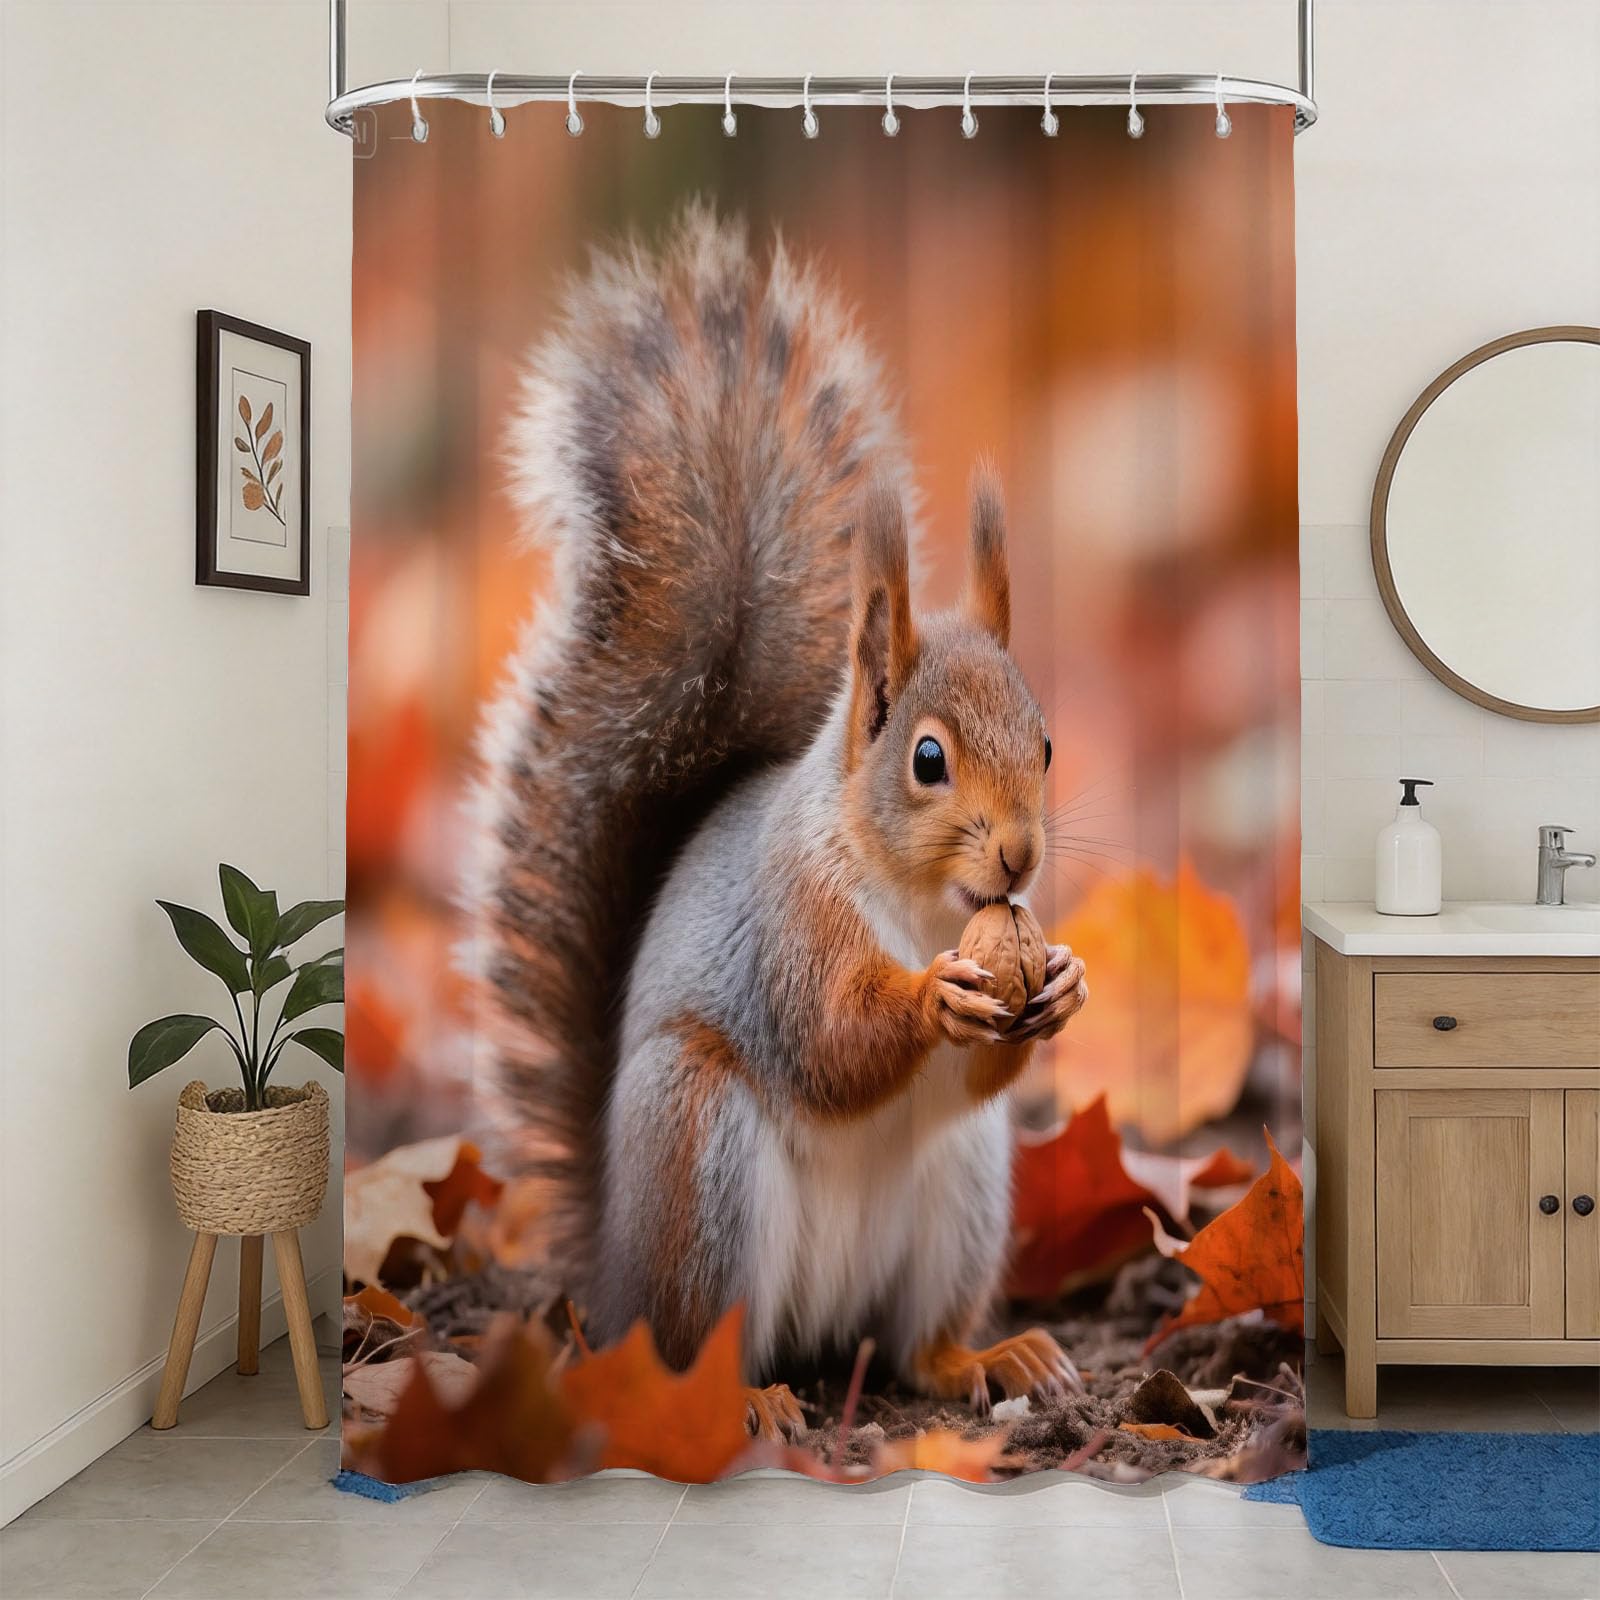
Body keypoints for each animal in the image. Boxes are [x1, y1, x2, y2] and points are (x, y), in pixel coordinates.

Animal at [468, 202, 1089, 1438]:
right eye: (928, 759)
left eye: (1046, 744)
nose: (1020, 856)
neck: (920, 903)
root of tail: (612, 1275)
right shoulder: (789, 920)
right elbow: (830, 1039)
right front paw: (931, 998)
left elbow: (978, 1069)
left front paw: (1060, 983)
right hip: (698, 1158)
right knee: (695, 1347)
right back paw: (746, 1403)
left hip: (964, 1190)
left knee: (914, 1345)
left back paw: (989, 1357)